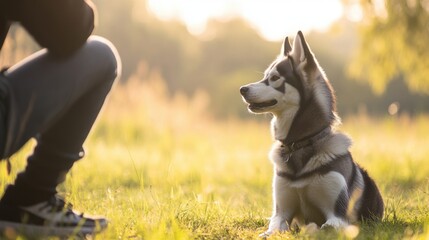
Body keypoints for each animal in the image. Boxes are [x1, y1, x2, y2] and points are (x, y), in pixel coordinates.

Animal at [239, 31, 382, 235]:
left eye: (274, 78)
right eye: (265, 76)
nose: (242, 89)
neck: (300, 144)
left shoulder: (337, 215)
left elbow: (323, 227)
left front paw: (311, 228)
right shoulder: (281, 213)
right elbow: (272, 229)